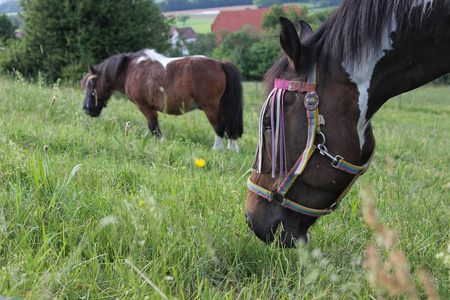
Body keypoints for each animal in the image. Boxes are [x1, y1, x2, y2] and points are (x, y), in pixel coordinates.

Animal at [80, 49, 243, 152]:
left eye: (91, 86)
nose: (87, 110)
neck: (129, 70)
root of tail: (220, 64)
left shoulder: (144, 106)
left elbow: (153, 126)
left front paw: (157, 143)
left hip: (210, 107)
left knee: (219, 126)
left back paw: (217, 149)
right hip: (223, 107)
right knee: (230, 126)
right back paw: (232, 149)